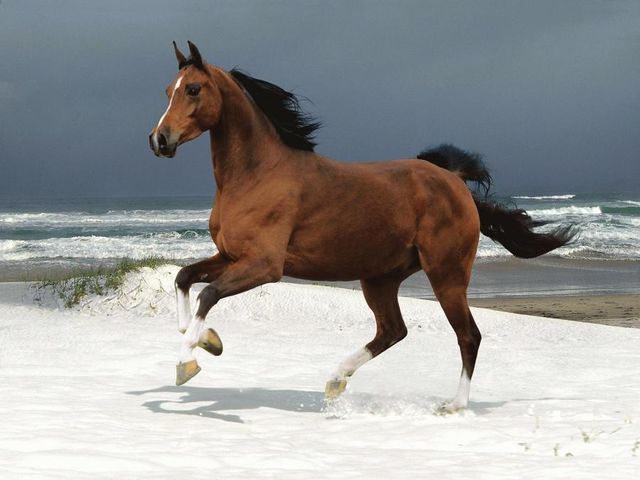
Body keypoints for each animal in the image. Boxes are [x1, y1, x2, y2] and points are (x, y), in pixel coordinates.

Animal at [148, 41, 575, 412]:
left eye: (193, 89)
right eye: (168, 90)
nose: (159, 140)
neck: (256, 174)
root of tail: (453, 180)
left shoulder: (265, 266)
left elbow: (208, 294)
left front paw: (187, 362)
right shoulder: (231, 255)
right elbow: (185, 278)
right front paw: (207, 340)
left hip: (447, 274)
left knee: (468, 335)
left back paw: (454, 405)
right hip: (381, 278)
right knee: (393, 330)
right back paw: (335, 380)